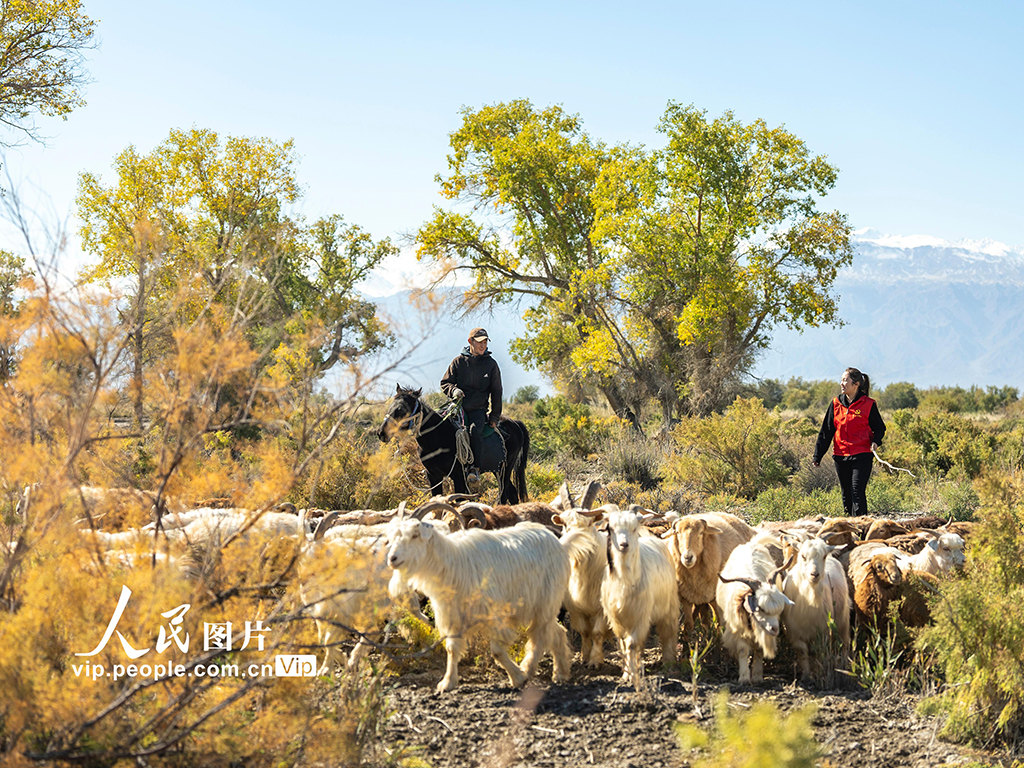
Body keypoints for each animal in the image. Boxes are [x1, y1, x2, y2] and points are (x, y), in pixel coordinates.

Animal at [380, 385, 532, 505]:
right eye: (391, 406)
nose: (381, 432)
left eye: (402, 409)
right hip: (497, 469)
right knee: (512, 494)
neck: (438, 437)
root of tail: (515, 423)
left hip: (505, 470)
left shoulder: (459, 477)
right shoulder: (433, 476)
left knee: (504, 495)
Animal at [385, 520, 577, 696]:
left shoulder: (496, 615)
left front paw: (518, 677)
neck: (453, 563)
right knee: (557, 632)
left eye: (415, 535)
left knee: (539, 637)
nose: (392, 559)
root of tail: (559, 543)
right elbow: (452, 650)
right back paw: (560, 673)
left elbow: (497, 651)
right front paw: (447, 683)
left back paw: (529, 669)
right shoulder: (453, 617)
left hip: (545, 602)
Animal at [598, 512, 679, 684]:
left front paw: (632, 675)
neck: (625, 581)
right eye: (611, 529)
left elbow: (631, 644)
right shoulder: (616, 618)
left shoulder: (640, 615)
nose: (624, 545)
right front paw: (626, 674)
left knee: (668, 632)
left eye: (634, 528)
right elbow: (623, 645)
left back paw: (669, 663)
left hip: (669, 605)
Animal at [716, 540, 794, 684]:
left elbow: (759, 650)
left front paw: (757, 676)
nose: (775, 629)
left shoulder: (763, 630)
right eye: (761, 608)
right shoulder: (737, 628)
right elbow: (743, 650)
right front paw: (744, 677)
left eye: (779, 610)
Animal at [778, 536, 851, 684]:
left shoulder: (822, 633)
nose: (814, 574)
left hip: (843, 622)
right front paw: (806, 676)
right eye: (803, 556)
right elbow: (803, 653)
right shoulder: (794, 633)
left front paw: (817, 674)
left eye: (823, 556)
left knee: (844, 645)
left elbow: (816, 653)